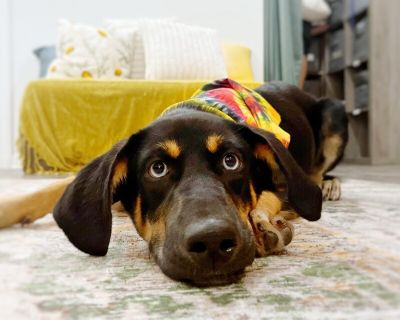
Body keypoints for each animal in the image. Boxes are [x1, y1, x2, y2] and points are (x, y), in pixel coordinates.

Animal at [0, 79, 346, 284]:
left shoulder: (282, 184)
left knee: (318, 171)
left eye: (231, 161)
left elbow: (265, 199)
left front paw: (263, 227)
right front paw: (10, 208)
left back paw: (329, 185)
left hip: (334, 111)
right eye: (157, 168)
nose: (212, 243)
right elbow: (58, 186)